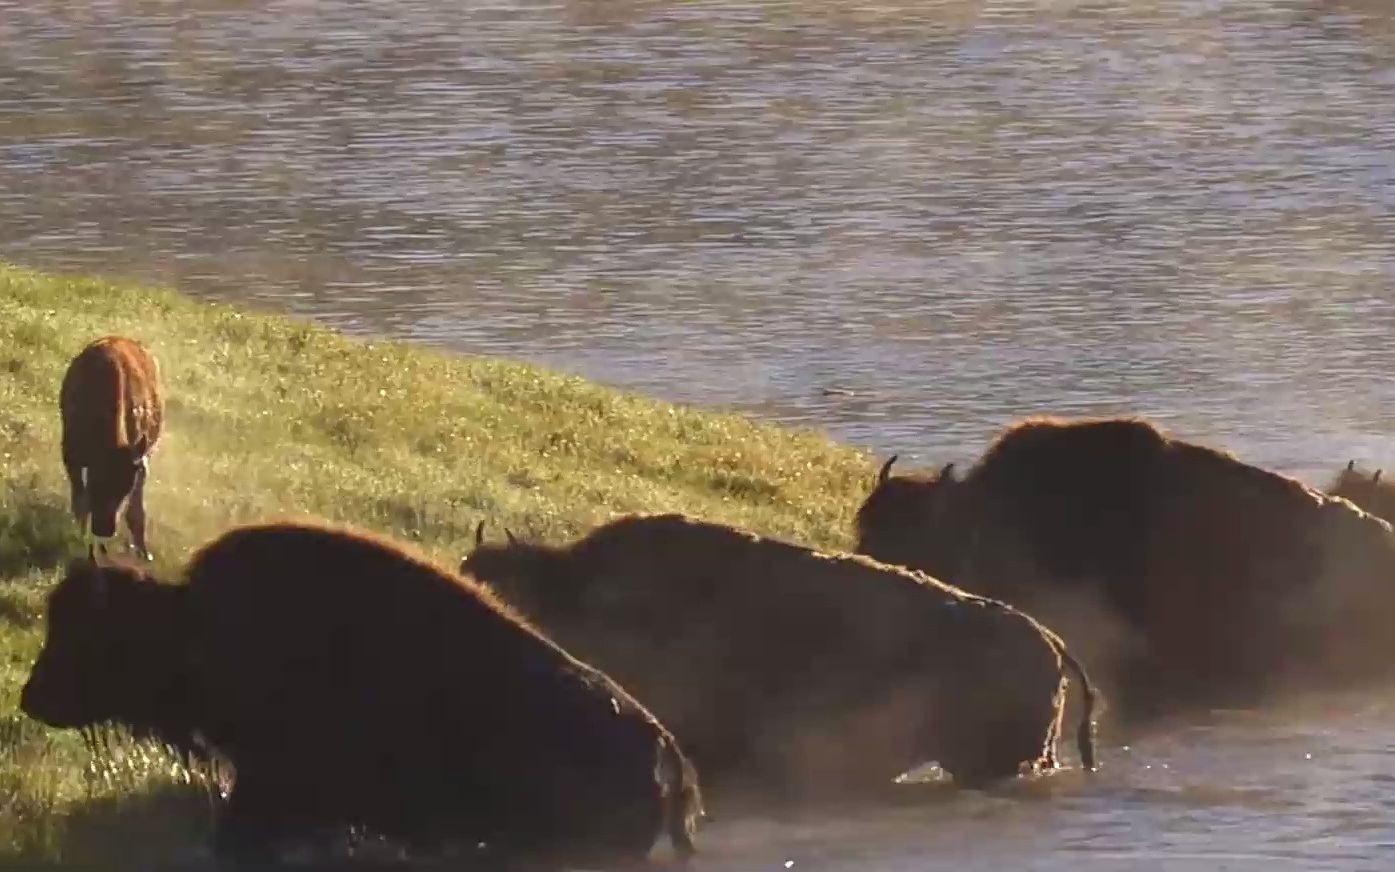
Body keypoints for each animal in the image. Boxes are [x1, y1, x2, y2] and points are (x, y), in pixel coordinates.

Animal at [60, 333, 164, 558]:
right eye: (96, 482)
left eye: (124, 490)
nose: (104, 529)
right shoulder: (72, 456)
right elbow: (80, 499)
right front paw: (81, 538)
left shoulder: (140, 462)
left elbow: (135, 508)